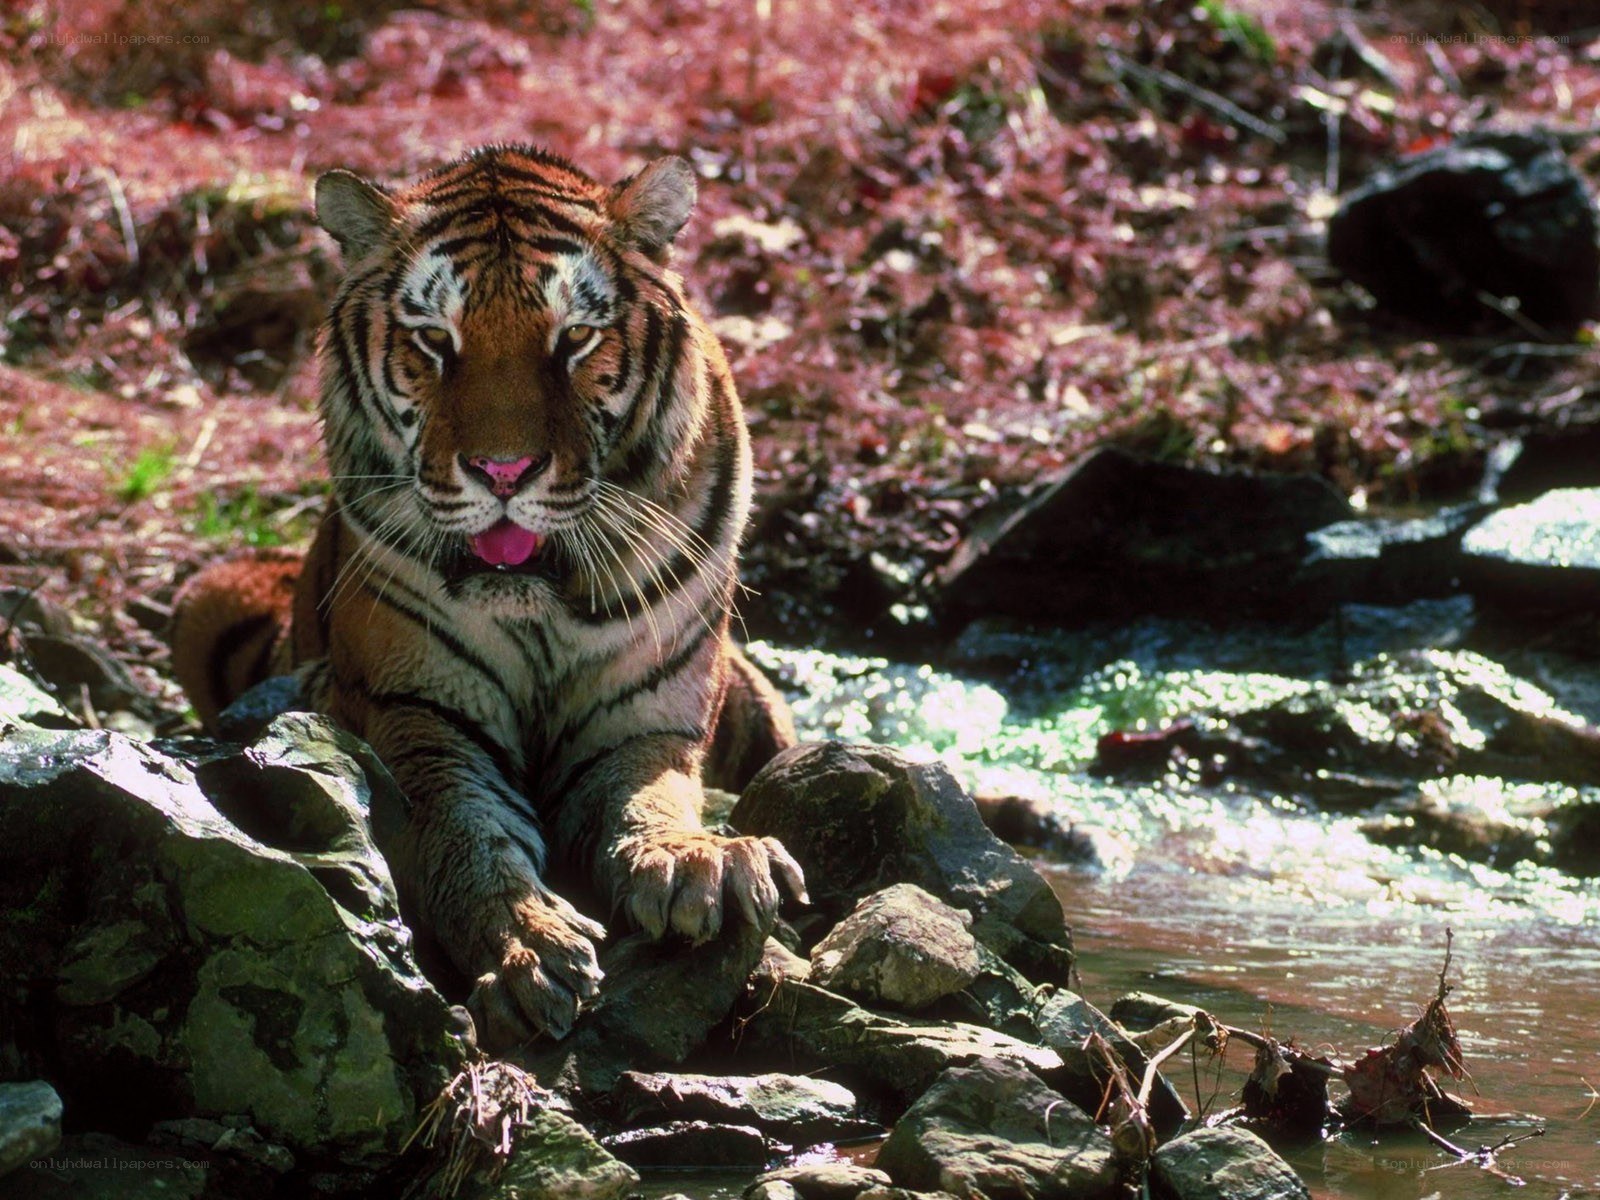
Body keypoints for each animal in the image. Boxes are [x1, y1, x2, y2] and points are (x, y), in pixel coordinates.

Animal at [170, 145, 804, 1048]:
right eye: (437, 341)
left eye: (574, 338)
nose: (504, 473)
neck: (541, 604)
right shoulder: (421, 713)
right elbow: (466, 830)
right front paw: (529, 945)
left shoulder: (643, 719)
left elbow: (653, 793)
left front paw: (694, 863)